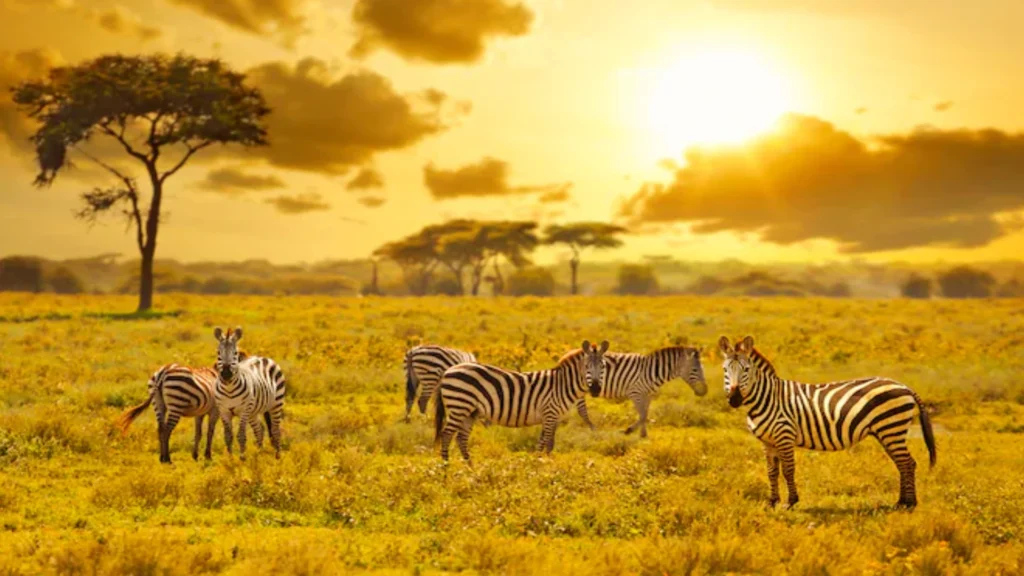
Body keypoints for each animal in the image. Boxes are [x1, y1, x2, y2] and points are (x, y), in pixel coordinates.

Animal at [214, 327, 287, 459]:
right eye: (218, 352)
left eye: (235, 353)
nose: (226, 374)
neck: (229, 389)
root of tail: (262, 357)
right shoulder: (223, 411)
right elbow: (228, 436)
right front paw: (229, 459)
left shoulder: (244, 411)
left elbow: (241, 435)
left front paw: (242, 458)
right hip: (253, 412)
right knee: (259, 430)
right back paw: (259, 454)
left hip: (276, 404)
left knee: (275, 430)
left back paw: (278, 457)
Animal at [434, 340, 609, 463]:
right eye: (586, 366)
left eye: (603, 366)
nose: (595, 389)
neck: (561, 385)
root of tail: (448, 371)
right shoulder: (550, 413)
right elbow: (548, 443)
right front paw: (545, 465)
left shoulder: (552, 417)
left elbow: (543, 442)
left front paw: (538, 463)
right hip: (459, 406)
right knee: (446, 435)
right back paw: (445, 468)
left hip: (470, 412)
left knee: (461, 439)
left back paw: (470, 468)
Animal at [573, 345, 708, 438]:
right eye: (695, 370)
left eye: (702, 368)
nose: (705, 391)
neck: (651, 372)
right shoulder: (635, 393)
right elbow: (643, 415)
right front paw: (630, 430)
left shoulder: (648, 396)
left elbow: (645, 414)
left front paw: (643, 434)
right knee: (582, 410)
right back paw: (593, 431)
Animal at [719, 335, 937, 509]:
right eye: (725, 370)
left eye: (746, 369)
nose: (734, 399)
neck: (768, 398)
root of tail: (904, 386)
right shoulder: (768, 441)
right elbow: (772, 472)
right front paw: (772, 502)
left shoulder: (784, 436)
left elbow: (788, 470)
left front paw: (790, 502)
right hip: (887, 432)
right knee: (902, 463)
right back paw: (901, 502)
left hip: (891, 429)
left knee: (907, 463)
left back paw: (910, 504)